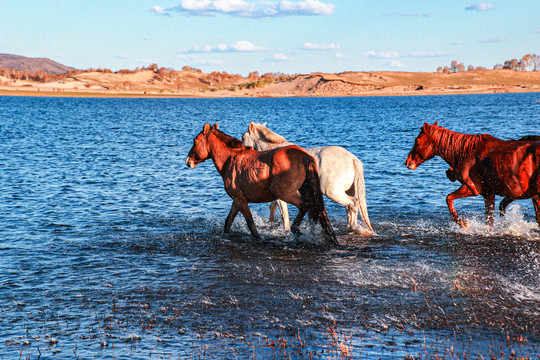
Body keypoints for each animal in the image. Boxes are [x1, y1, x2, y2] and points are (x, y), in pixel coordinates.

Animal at [186, 123, 338, 245]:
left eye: (195, 141)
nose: (188, 161)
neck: (230, 159)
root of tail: (303, 155)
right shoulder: (237, 200)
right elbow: (228, 221)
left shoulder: (240, 200)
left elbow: (250, 223)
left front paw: (258, 239)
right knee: (313, 210)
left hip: (284, 193)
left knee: (304, 205)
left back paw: (296, 230)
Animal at [243, 122, 374, 233]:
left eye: (243, 138)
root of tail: (352, 158)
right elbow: (273, 206)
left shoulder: (281, 194)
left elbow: (284, 214)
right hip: (347, 191)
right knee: (349, 207)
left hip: (333, 192)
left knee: (353, 204)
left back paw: (352, 228)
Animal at [404, 122, 540, 226]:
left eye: (417, 140)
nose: (407, 162)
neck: (463, 153)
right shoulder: (488, 193)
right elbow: (490, 221)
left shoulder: (474, 188)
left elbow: (449, 198)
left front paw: (462, 222)